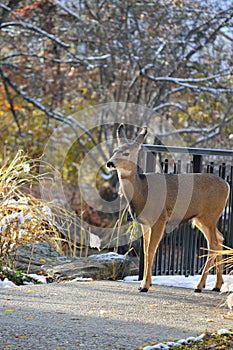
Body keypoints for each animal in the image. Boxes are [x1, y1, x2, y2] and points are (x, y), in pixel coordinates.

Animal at [106, 123, 230, 292]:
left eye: (126, 153)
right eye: (114, 151)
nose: (109, 163)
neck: (142, 191)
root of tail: (227, 186)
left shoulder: (160, 218)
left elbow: (151, 250)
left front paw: (144, 286)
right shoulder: (144, 223)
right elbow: (146, 251)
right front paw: (145, 283)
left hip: (210, 215)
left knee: (213, 244)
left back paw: (199, 286)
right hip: (201, 219)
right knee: (220, 238)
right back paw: (216, 285)